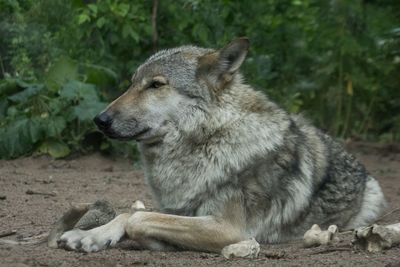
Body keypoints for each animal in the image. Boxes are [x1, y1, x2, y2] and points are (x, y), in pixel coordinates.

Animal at [59, 37, 388, 253]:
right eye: (131, 84)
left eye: (156, 85)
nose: (100, 120)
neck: (209, 140)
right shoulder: (181, 208)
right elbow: (129, 213)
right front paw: (90, 235)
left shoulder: (230, 229)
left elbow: (139, 217)